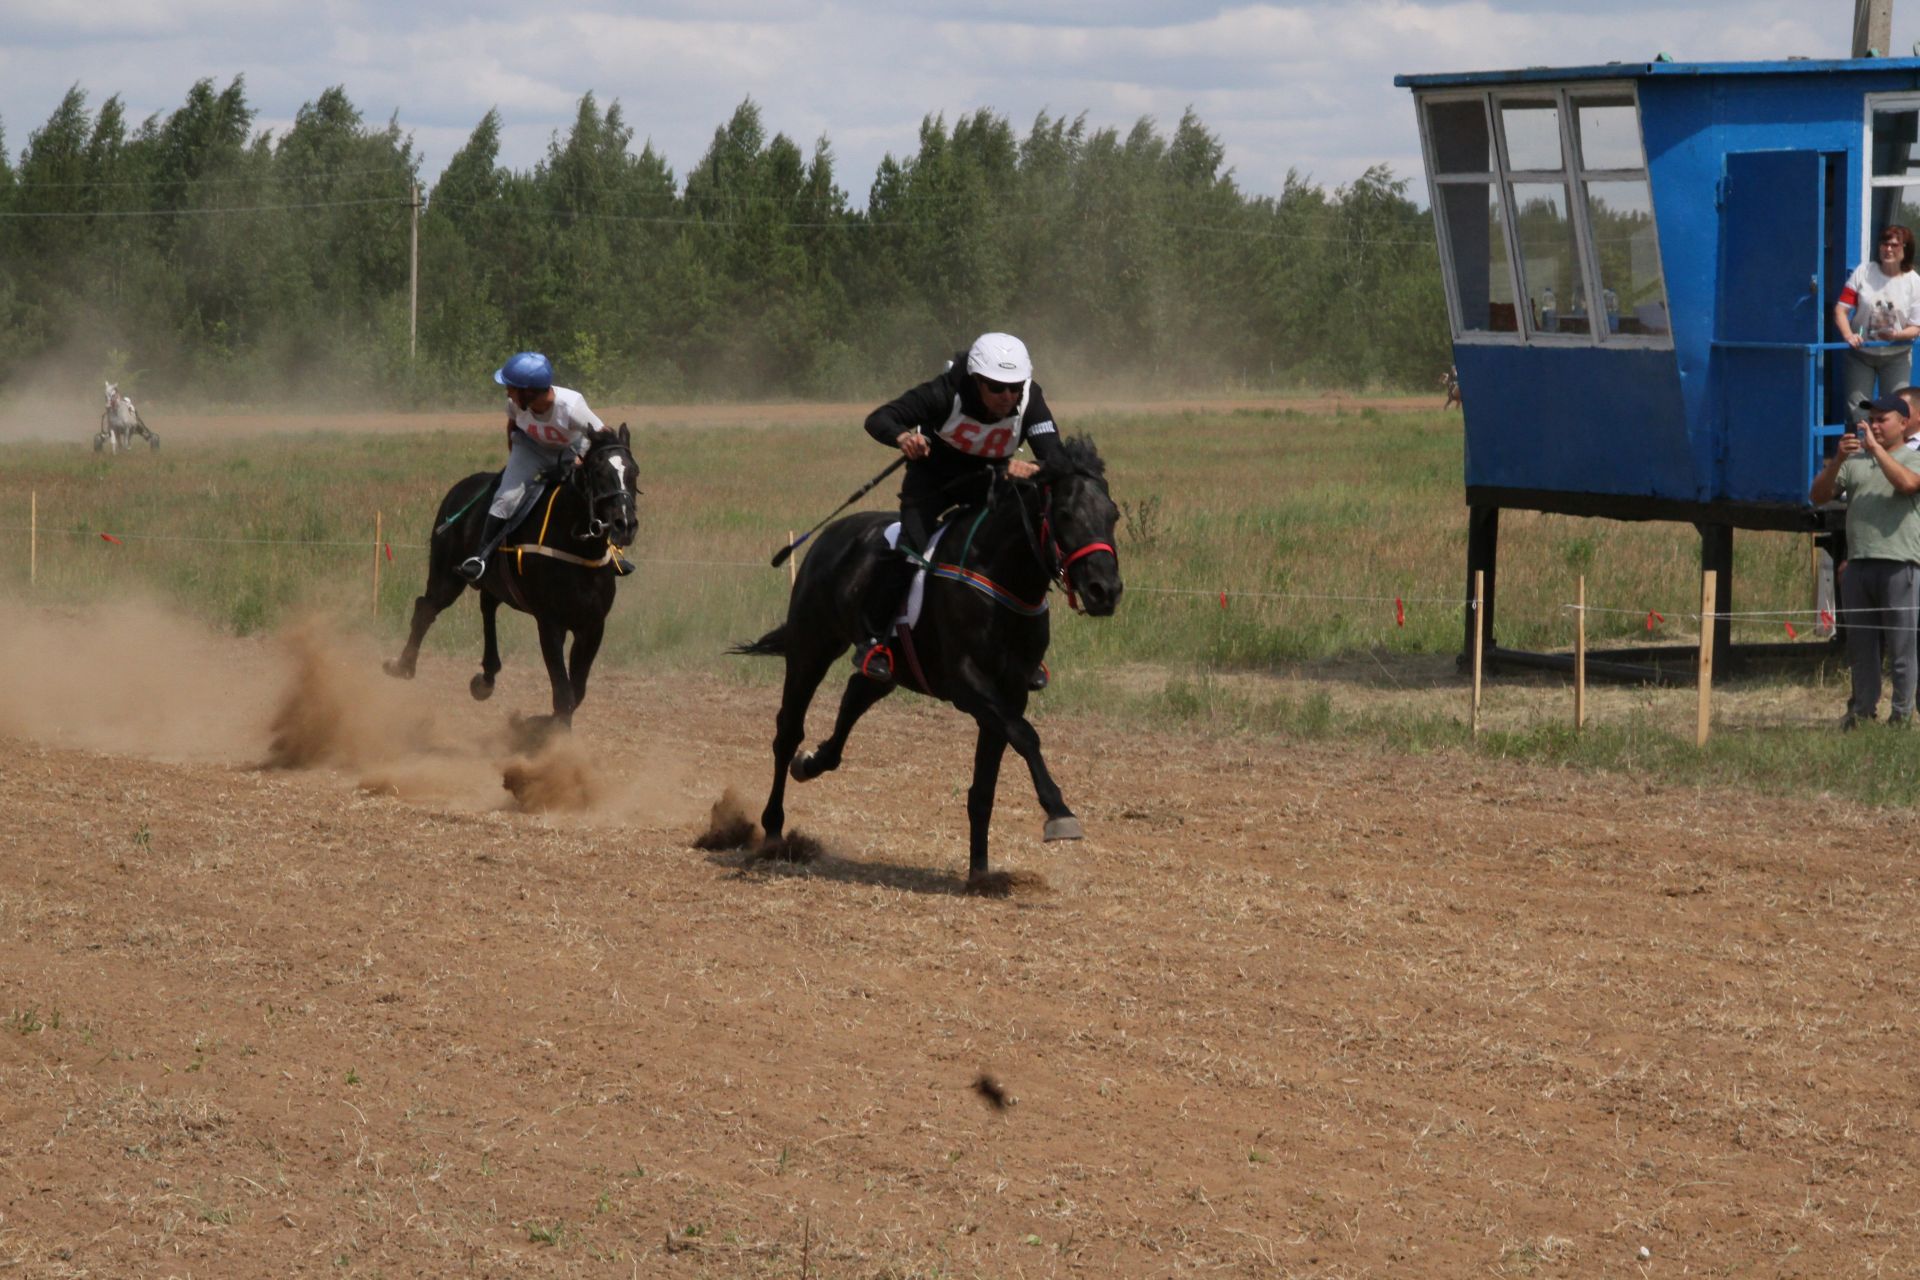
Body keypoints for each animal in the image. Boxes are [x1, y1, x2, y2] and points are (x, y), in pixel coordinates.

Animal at [385, 427, 641, 736]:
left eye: (634, 471)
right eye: (599, 471)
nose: (625, 524)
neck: (577, 550)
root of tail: (460, 488)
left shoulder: (592, 626)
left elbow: (576, 692)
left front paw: (538, 725)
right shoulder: (550, 623)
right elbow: (564, 693)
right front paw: (543, 733)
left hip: (492, 583)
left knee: (487, 606)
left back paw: (485, 678)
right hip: (446, 576)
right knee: (426, 608)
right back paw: (403, 665)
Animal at [733, 435, 1121, 886]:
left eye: (1112, 514)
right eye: (1064, 514)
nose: (1105, 590)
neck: (1000, 574)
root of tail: (829, 536)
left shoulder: (1009, 691)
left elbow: (986, 781)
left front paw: (980, 871)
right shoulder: (967, 685)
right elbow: (1025, 735)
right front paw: (1059, 812)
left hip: (885, 667)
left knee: (855, 695)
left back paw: (812, 762)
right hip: (810, 648)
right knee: (787, 732)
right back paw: (774, 830)